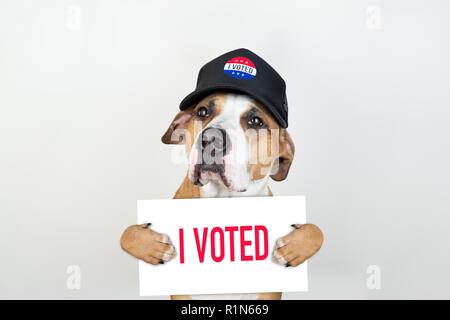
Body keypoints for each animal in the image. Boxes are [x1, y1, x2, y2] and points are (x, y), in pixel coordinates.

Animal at [119, 90, 324, 300]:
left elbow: (316, 231)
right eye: (202, 111)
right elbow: (128, 234)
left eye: (256, 121)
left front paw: (293, 248)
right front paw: (153, 247)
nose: (211, 138)